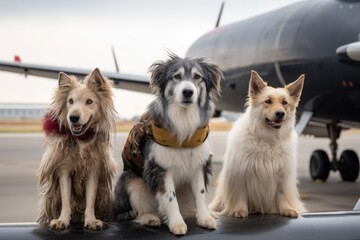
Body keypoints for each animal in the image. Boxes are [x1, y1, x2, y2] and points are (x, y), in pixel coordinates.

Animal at [37, 68, 117, 230]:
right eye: (70, 101)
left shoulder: (94, 170)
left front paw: (91, 220)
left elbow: (90, 199)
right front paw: (62, 220)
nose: (73, 117)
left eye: (89, 101)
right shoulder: (64, 170)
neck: (81, 140)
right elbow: (66, 198)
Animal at [114, 53, 224, 235]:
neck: (184, 120)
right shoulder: (161, 168)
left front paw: (204, 218)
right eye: (177, 76)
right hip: (131, 180)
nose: (188, 92)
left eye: (197, 77)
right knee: (136, 213)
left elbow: (201, 195)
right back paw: (150, 218)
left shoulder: (199, 164)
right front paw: (176, 224)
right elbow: (170, 198)